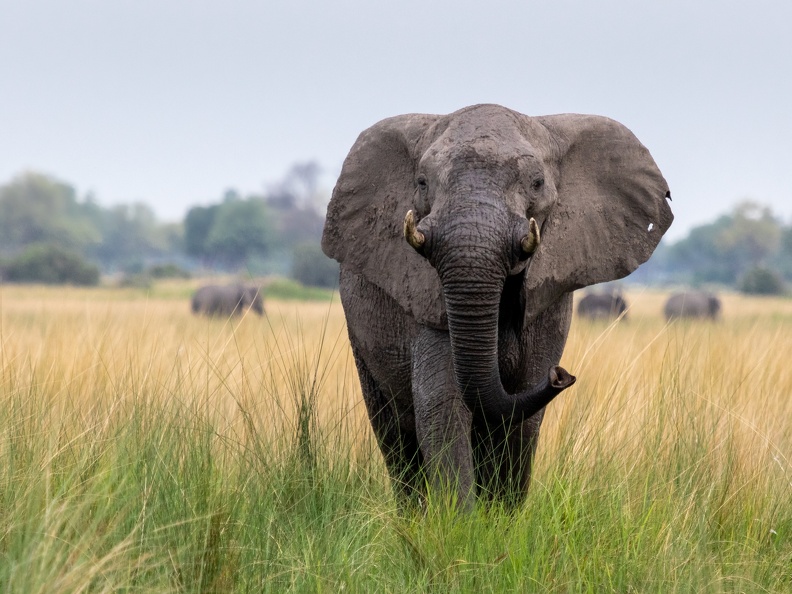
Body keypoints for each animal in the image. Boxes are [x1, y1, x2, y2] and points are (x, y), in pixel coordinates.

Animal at [322, 104, 673, 508]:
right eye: (422, 182)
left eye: (537, 182)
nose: (561, 376)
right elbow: (444, 406)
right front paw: (457, 520)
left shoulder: (548, 306)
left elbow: (521, 419)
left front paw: (500, 517)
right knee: (394, 433)